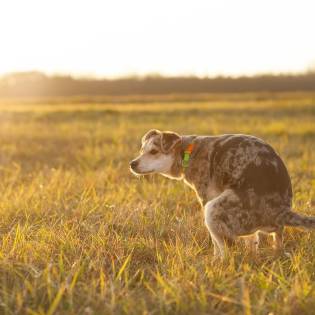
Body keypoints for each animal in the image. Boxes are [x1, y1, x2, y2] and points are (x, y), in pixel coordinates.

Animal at [130, 130, 314, 260]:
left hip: (214, 209)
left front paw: (214, 260)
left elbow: (215, 244)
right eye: (141, 150)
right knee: (269, 242)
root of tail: (281, 211)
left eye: (154, 151)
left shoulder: (206, 198)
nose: (132, 164)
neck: (187, 153)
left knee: (227, 249)